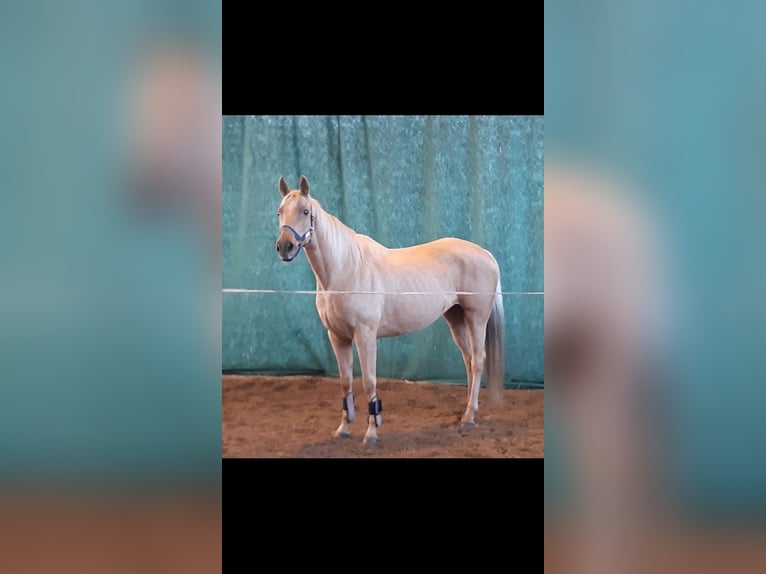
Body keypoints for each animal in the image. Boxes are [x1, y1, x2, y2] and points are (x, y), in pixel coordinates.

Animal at [274, 176, 504, 446]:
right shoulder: (338, 337)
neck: (346, 268)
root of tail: (485, 253)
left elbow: (369, 381)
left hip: (476, 318)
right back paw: (467, 411)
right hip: (455, 318)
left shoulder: (365, 335)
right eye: (279, 212)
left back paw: (469, 417)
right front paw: (343, 429)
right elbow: (345, 382)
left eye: (305, 211)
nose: (285, 247)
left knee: (477, 361)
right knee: (468, 360)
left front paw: (371, 433)